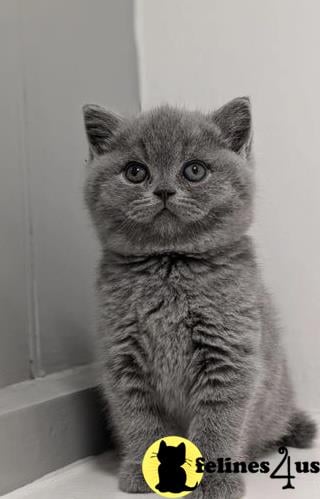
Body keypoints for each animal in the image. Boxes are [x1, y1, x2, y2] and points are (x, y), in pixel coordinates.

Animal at [82, 98, 316, 499]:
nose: (163, 191)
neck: (170, 264)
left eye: (194, 170)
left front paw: (214, 482)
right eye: (135, 172)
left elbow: (218, 422)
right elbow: (138, 418)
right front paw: (142, 472)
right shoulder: (122, 357)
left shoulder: (229, 354)